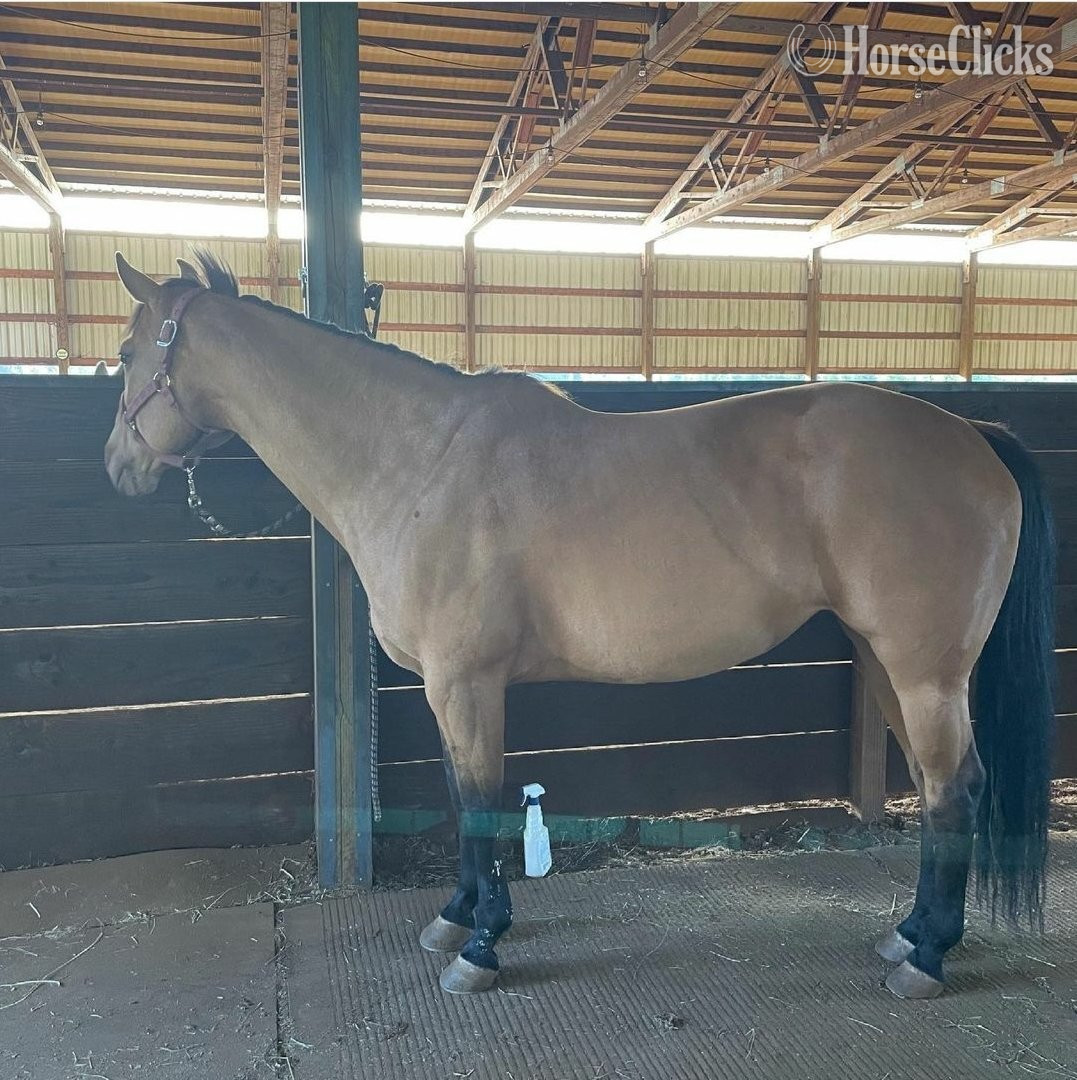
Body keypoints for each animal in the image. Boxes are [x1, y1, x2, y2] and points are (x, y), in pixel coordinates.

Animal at [105, 252, 1055, 1001]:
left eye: (123, 351)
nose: (118, 467)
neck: (418, 461)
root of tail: (973, 436)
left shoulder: (467, 682)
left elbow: (481, 803)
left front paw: (481, 947)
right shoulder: (449, 688)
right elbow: (458, 796)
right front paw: (455, 919)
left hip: (925, 672)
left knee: (954, 789)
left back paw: (926, 960)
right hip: (888, 664)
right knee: (936, 791)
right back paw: (907, 935)